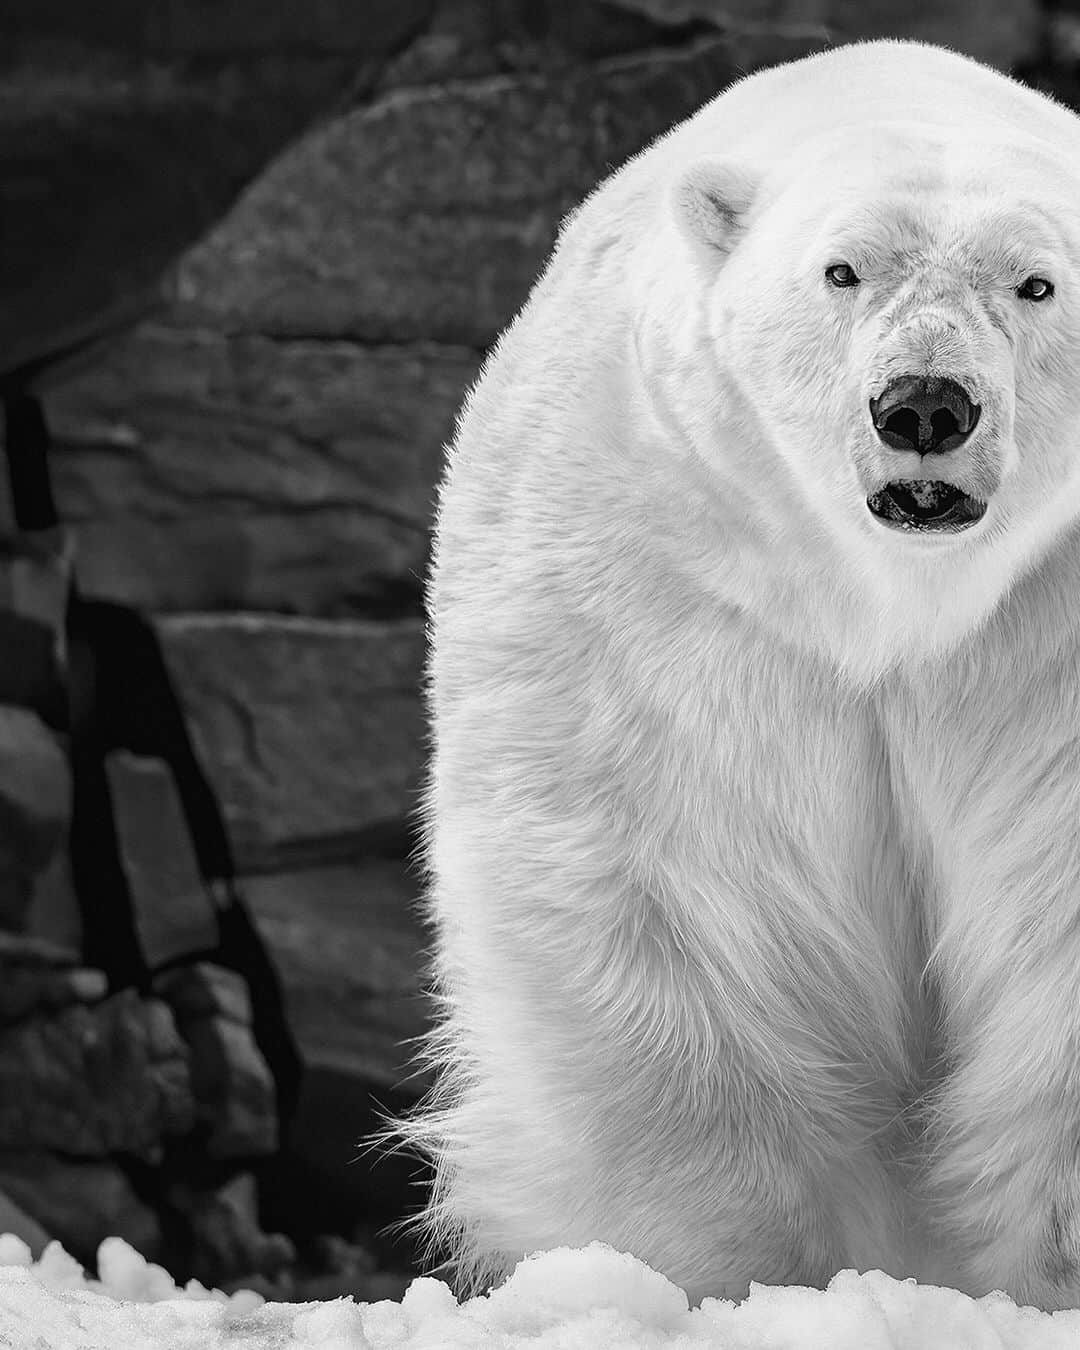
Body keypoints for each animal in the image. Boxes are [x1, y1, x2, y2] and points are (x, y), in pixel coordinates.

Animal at [399, 39, 1080, 1306]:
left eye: (1037, 285)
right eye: (841, 269)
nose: (925, 405)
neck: (897, 601)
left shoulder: (1047, 620)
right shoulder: (671, 574)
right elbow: (668, 881)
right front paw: (733, 1276)